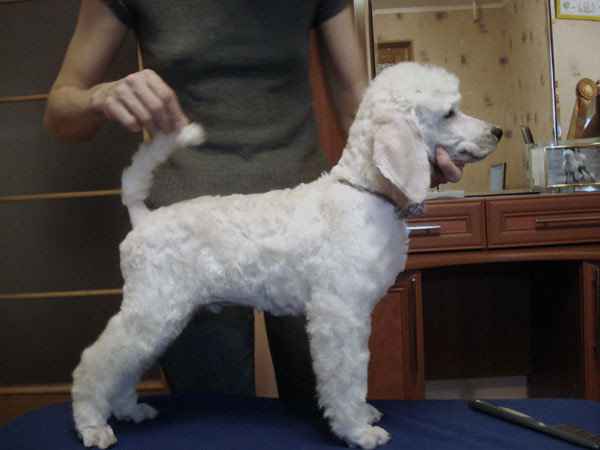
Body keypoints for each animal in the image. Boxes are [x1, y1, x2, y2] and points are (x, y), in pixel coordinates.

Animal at [71, 62, 502, 449]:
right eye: (449, 113)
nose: (497, 132)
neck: (363, 191)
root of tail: (143, 217)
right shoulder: (339, 313)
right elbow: (346, 377)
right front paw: (357, 431)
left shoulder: (355, 315)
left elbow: (356, 372)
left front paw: (363, 414)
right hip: (152, 309)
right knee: (94, 363)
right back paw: (92, 424)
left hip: (159, 317)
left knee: (123, 366)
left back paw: (129, 409)